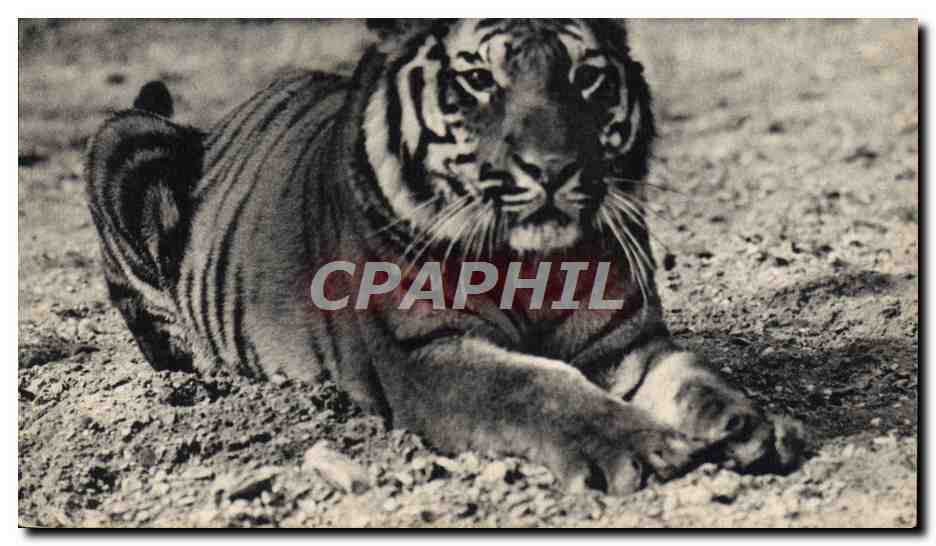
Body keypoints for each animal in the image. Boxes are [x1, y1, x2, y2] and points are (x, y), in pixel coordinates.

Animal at [86, 19, 807, 495]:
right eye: (480, 80)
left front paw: (752, 425)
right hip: (124, 141)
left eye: (586, 77)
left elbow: (695, 377)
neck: (533, 263)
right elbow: (534, 388)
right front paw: (644, 448)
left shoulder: (624, 342)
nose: (552, 168)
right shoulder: (425, 356)